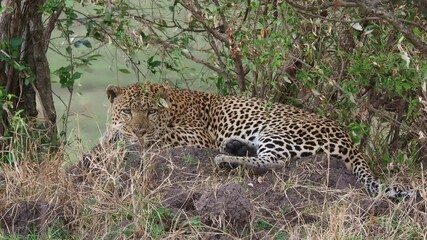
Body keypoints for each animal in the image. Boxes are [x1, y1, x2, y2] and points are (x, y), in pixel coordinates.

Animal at [105, 82, 410, 199]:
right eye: (128, 111)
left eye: (151, 112)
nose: (139, 130)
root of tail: (351, 141)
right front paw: (117, 134)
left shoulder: (197, 135)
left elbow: (161, 136)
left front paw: (131, 139)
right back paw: (235, 146)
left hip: (281, 129)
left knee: (276, 162)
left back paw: (226, 158)